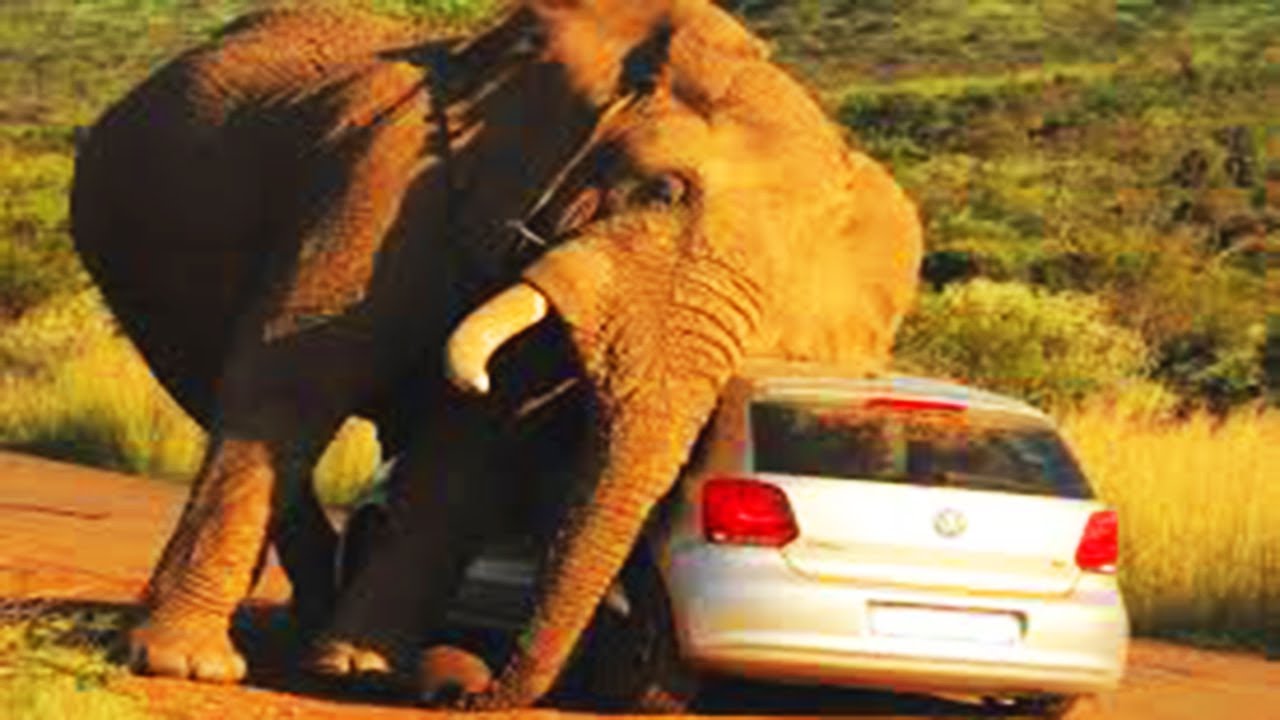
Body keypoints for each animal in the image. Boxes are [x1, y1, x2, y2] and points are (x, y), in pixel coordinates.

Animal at [69, 0, 922, 708]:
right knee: (222, 393)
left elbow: (474, 439)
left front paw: (363, 669)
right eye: (663, 192)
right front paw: (183, 667)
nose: (462, 689)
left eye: (789, 272)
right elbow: (295, 379)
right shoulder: (385, 181)